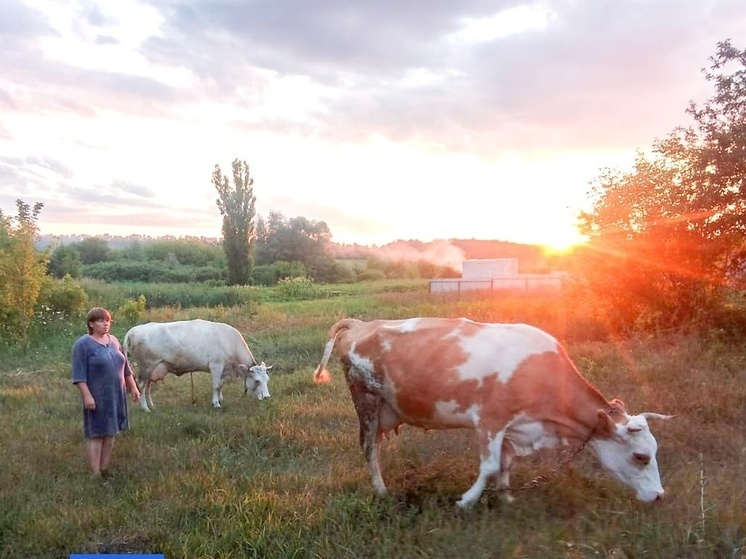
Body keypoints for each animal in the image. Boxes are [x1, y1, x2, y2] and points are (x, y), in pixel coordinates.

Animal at [124, 320, 270, 412]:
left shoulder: (223, 368)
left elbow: (221, 384)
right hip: (146, 366)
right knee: (142, 386)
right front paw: (216, 403)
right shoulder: (216, 365)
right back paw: (145, 408)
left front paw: (220, 399)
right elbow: (216, 385)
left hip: (152, 369)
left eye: (267, 380)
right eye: (257, 381)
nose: (267, 397)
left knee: (147, 387)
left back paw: (152, 406)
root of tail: (134, 329)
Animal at [310, 320, 672, 508]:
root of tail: (361, 323)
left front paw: (507, 496)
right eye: (641, 456)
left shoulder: (515, 426)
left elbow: (506, 463)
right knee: (370, 448)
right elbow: (489, 466)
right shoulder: (490, 421)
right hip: (367, 402)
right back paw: (381, 490)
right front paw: (467, 500)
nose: (658, 496)